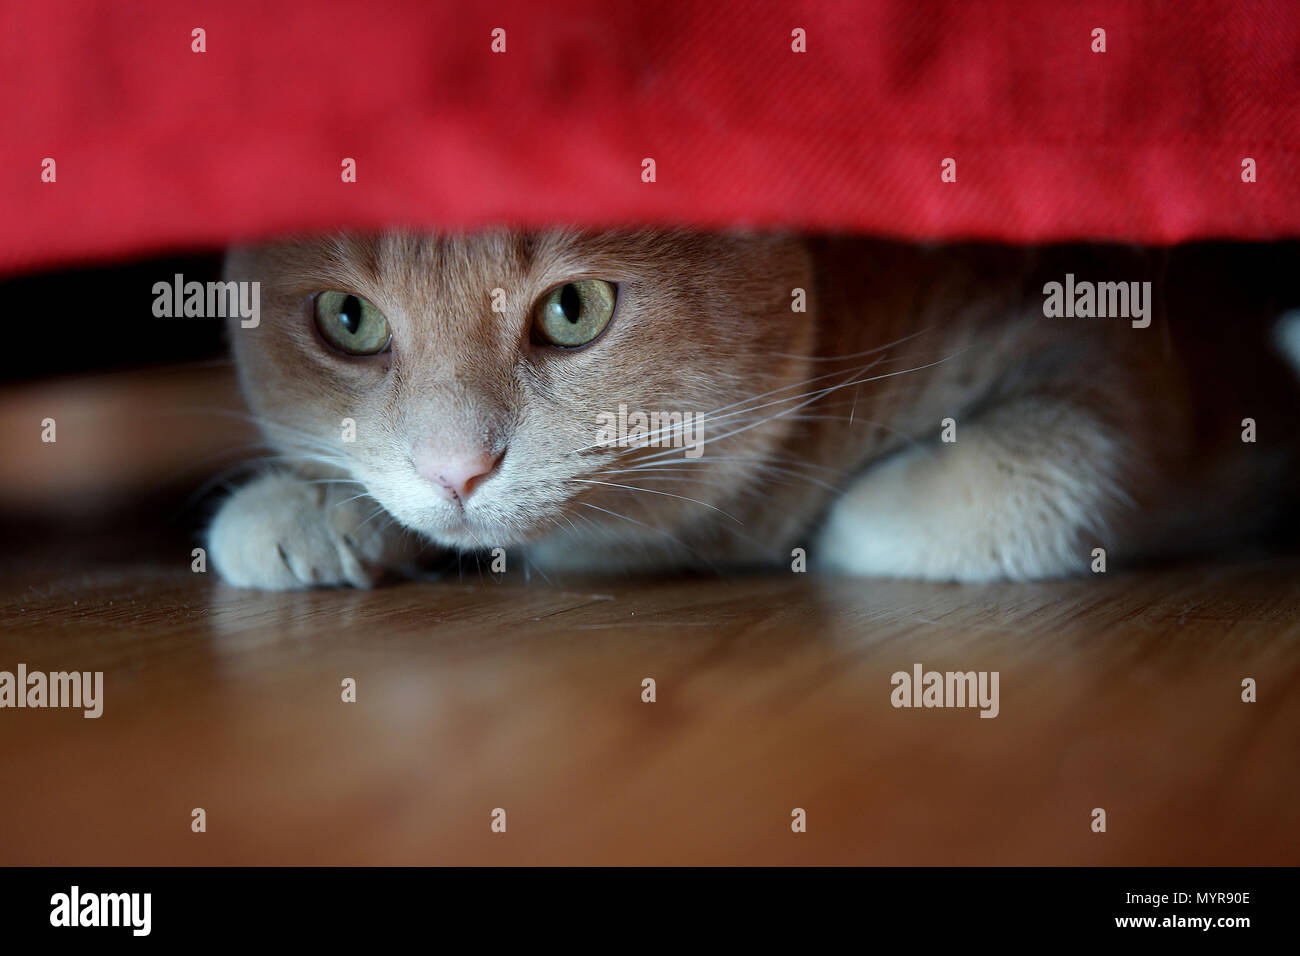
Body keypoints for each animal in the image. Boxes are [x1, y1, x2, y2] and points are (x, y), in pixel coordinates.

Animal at [205, 234, 1300, 590]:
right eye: (348, 320)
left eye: (574, 308)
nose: (455, 468)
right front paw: (308, 508)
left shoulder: (1093, 342)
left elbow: (1006, 484)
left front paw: (835, 526)